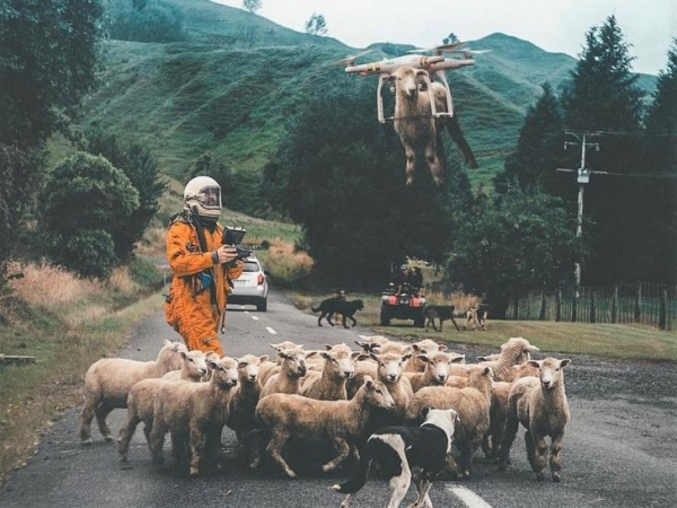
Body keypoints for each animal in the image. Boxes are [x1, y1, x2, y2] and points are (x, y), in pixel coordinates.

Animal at [254, 376, 394, 478]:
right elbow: (345, 452)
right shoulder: (335, 435)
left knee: (259, 440)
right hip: (280, 429)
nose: (392, 404)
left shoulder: (348, 437)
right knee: (272, 450)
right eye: (378, 391)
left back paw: (259, 463)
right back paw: (289, 471)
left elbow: (355, 454)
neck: (352, 409)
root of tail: (260, 405)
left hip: (267, 428)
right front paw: (327, 467)